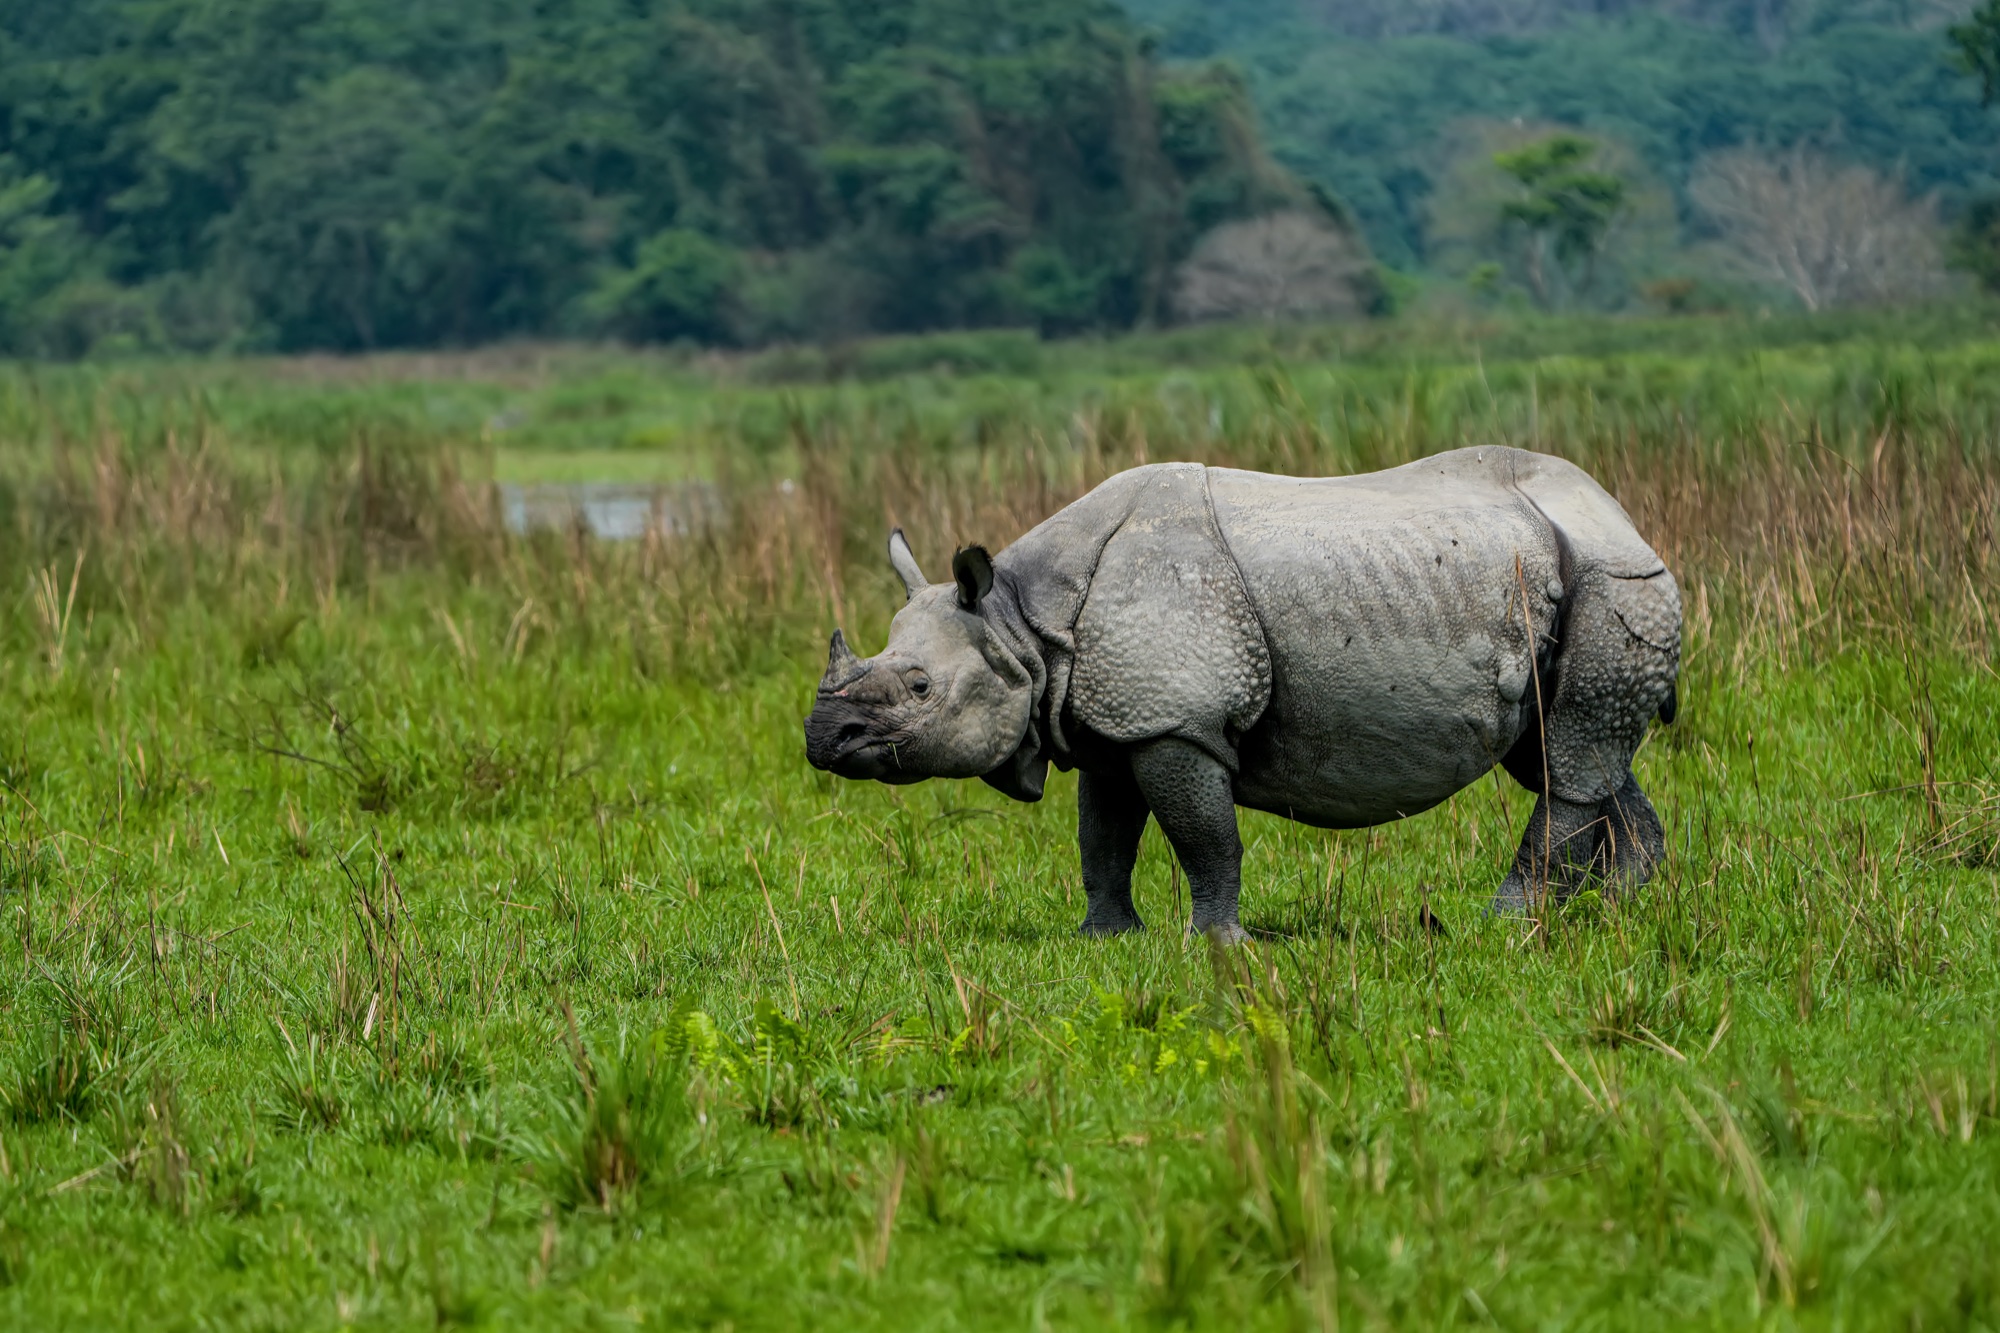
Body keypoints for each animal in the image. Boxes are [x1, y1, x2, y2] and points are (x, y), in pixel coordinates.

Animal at [804, 447, 1680, 940]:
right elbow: (1103, 836)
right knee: (1566, 752)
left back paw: (1506, 922)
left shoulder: (1175, 719)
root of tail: (1626, 519)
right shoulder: (1113, 721)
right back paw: (1623, 905)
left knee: (1567, 760)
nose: (821, 735)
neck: (1021, 622)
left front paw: (1218, 943)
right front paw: (1105, 937)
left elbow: (1205, 838)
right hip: (1566, 580)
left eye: (920, 686)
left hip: (1615, 582)